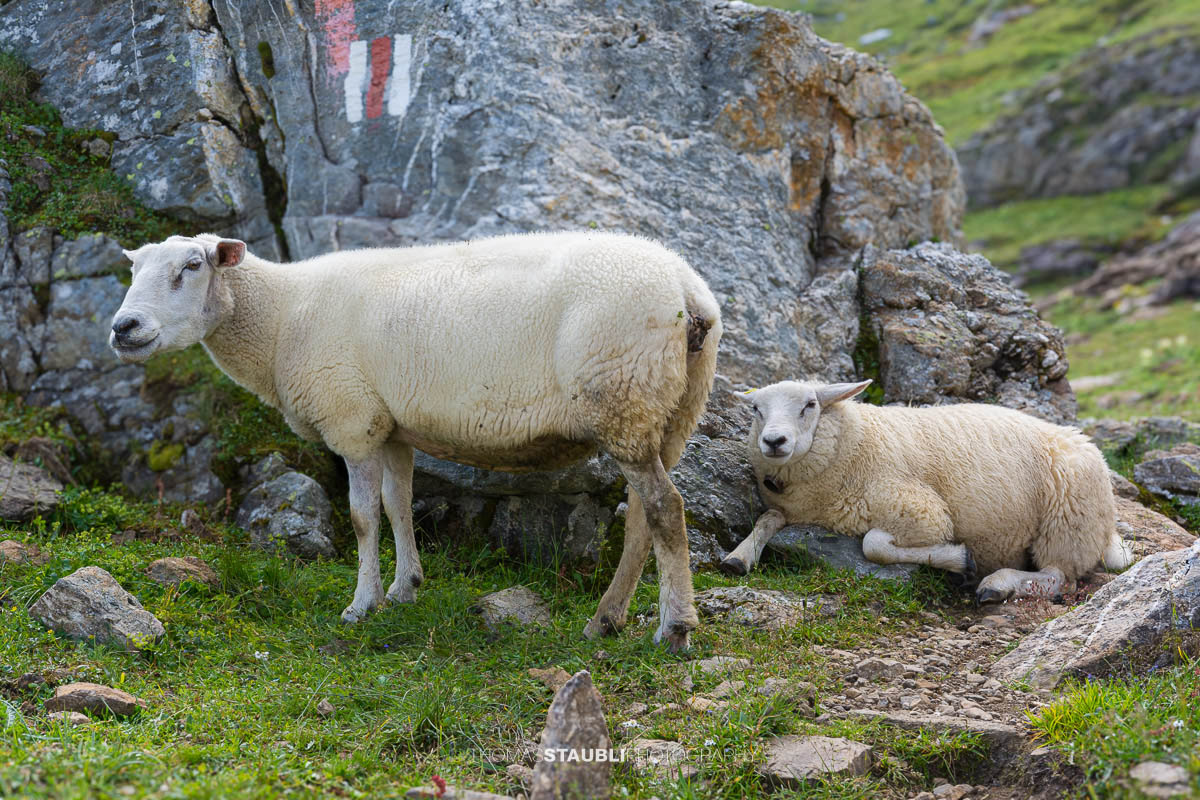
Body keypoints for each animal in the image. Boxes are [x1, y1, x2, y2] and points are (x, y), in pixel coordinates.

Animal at [108, 232, 721, 650]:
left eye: (192, 266)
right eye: (134, 268)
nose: (123, 328)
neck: (282, 318)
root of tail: (689, 290)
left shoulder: (351, 418)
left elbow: (361, 518)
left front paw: (362, 604)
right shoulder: (390, 426)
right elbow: (397, 503)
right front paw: (406, 587)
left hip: (623, 397)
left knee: (665, 508)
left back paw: (674, 628)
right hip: (668, 413)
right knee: (643, 518)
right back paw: (606, 619)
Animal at [720, 380, 1134, 602]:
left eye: (809, 405)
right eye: (755, 409)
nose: (774, 441)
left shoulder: (921, 510)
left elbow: (873, 545)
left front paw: (960, 559)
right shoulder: (790, 507)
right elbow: (767, 518)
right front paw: (739, 556)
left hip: (1068, 521)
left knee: (1057, 575)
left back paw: (997, 585)